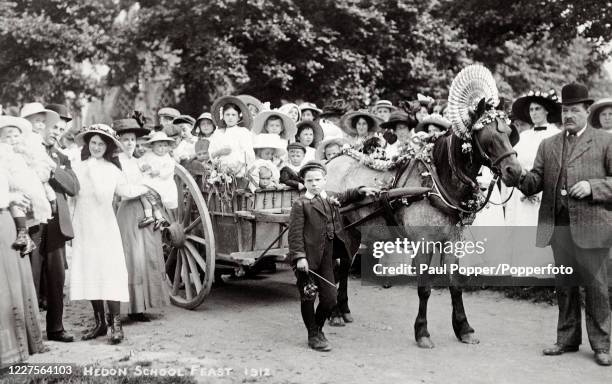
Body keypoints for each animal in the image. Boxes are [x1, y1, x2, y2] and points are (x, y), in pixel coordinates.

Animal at [328, 98, 524, 348]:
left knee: (343, 266)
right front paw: (422, 331)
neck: (436, 183)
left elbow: (456, 284)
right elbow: (424, 288)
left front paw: (464, 328)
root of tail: (331, 161)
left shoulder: (453, 242)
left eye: (509, 133)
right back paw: (334, 313)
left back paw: (342, 309)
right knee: (334, 266)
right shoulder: (424, 243)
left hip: (354, 232)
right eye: (486, 136)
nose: (515, 171)